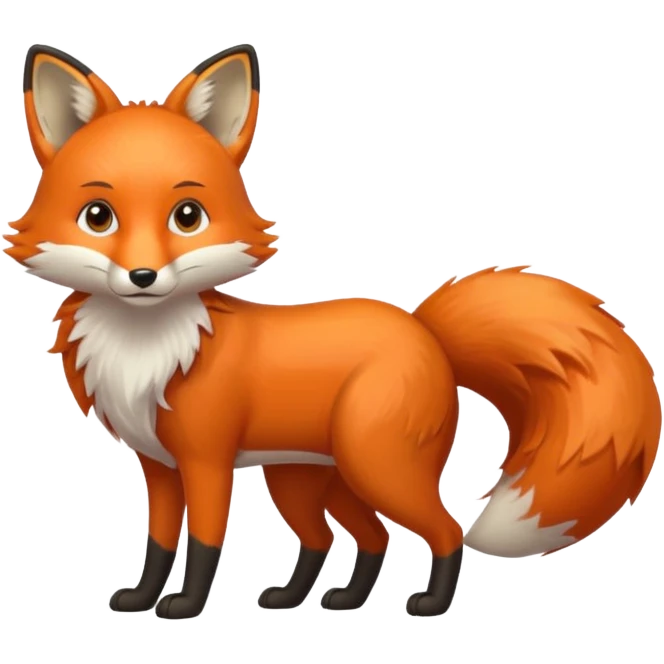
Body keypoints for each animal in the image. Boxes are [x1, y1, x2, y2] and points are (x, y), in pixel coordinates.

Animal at [3, 42, 662, 621]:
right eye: (99, 217)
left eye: (187, 217)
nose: (143, 277)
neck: (148, 351)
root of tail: (423, 329)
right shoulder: (159, 467)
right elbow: (161, 544)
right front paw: (141, 599)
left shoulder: (207, 463)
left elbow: (205, 544)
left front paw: (185, 607)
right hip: (308, 480)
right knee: (351, 540)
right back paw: (323, 600)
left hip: (376, 468)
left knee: (443, 530)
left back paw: (429, 605)